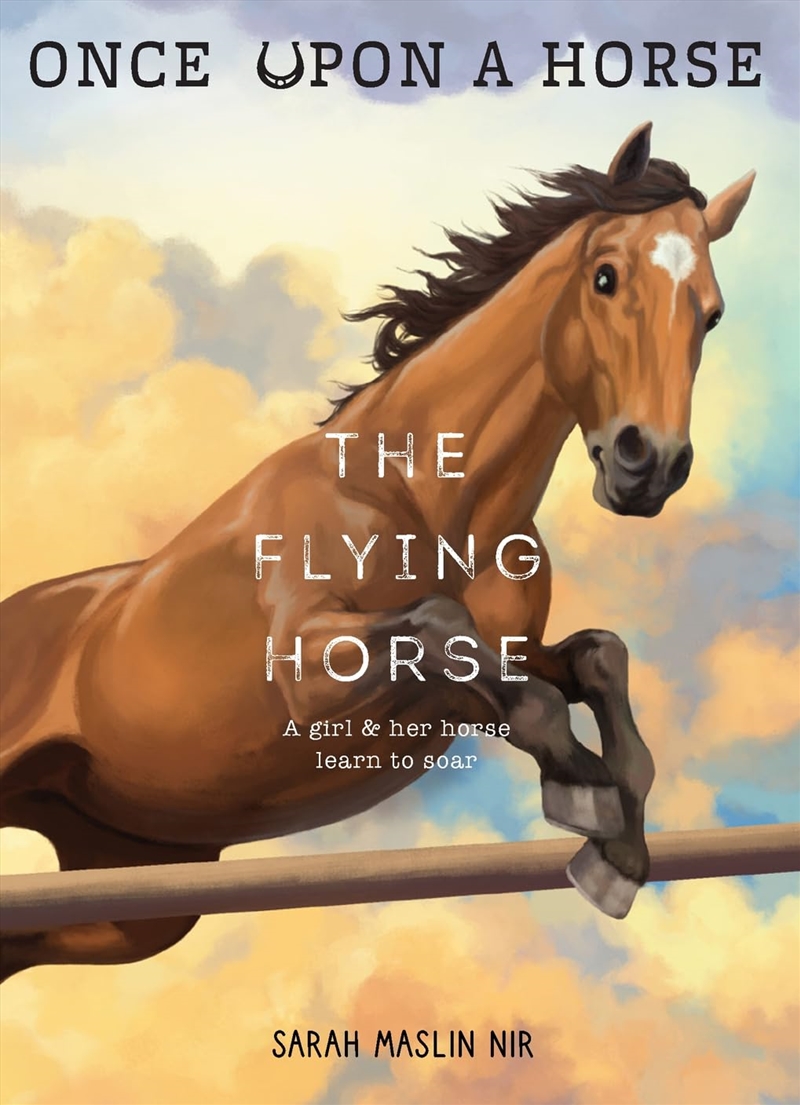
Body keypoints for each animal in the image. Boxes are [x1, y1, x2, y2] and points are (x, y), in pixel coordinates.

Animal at [0, 123, 754, 980]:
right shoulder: (308, 671)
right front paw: (583, 791)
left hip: (138, 899)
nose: (647, 465)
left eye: (711, 314)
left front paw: (616, 850)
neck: (423, 495)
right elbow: (447, 631)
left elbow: (595, 657)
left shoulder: (499, 665)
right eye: (606, 277)